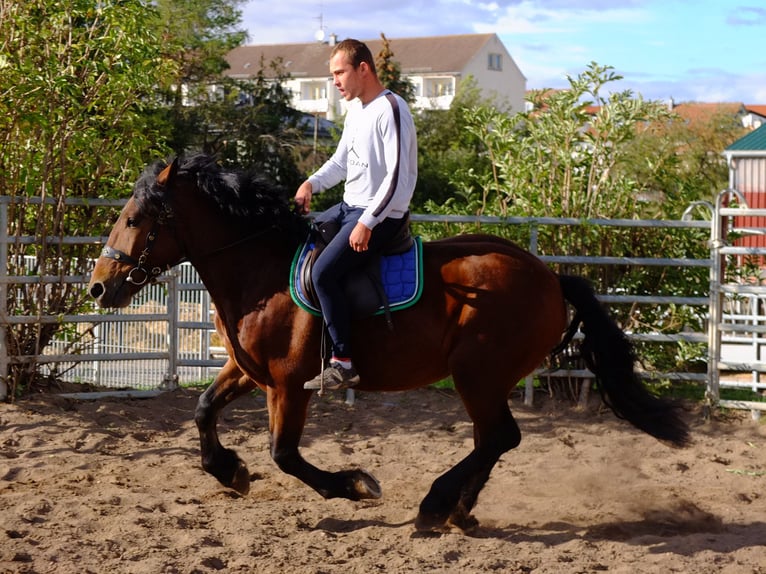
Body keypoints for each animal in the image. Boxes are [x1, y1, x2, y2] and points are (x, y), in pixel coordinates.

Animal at [88, 155, 688, 532]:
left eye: (135, 219)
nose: (98, 286)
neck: (262, 273)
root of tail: (547, 275)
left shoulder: (289, 385)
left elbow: (284, 454)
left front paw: (354, 485)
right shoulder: (248, 372)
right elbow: (202, 409)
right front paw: (229, 471)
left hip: (477, 373)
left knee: (499, 437)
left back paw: (437, 506)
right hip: (485, 380)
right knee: (494, 439)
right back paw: (457, 511)